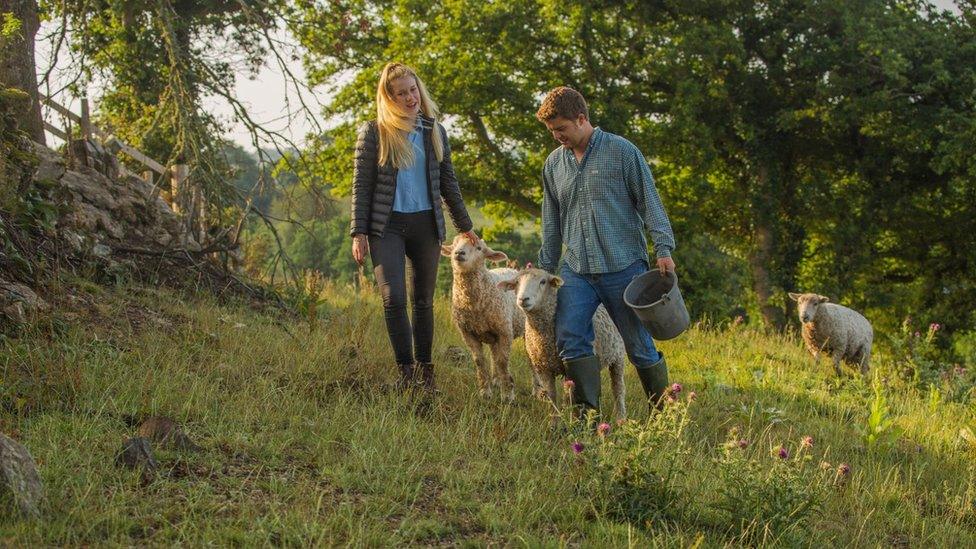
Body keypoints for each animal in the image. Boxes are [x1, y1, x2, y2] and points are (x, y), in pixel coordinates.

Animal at [442, 233, 528, 400]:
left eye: (479, 248)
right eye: (454, 245)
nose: (459, 253)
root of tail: (511, 269)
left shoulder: (505, 331)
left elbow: (503, 361)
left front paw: (508, 395)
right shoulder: (468, 333)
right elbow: (480, 361)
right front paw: (485, 392)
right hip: (492, 333)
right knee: (494, 354)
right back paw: (496, 381)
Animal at [500, 268, 628, 418]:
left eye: (543, 282)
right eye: (516, 282)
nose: (523, 299)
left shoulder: (568, 370)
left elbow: (568, 399)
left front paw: (570, 419)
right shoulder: (543, 369)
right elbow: (552, 399)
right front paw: (555, 422)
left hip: (618, 356)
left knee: (618, 388)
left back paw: (620, 417)